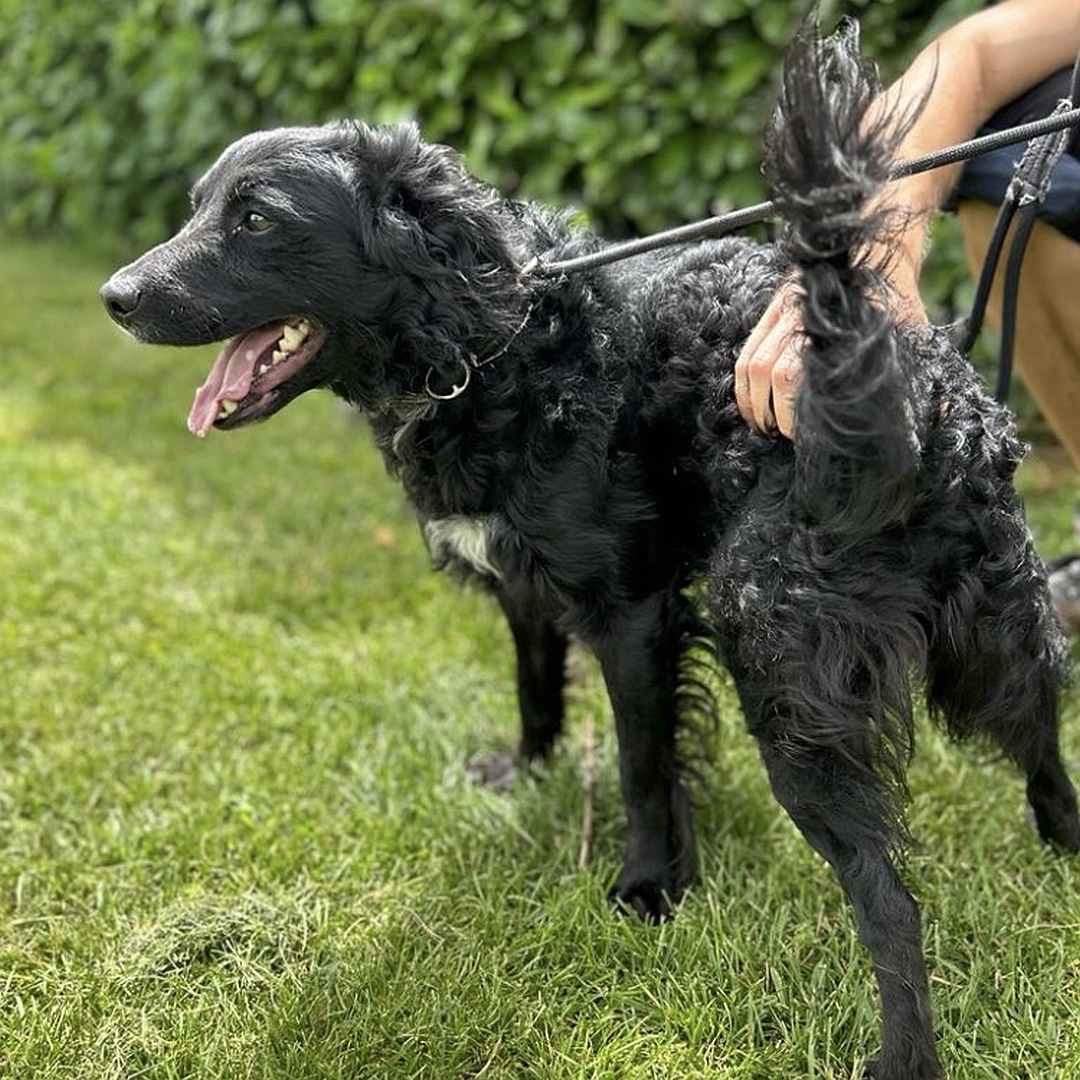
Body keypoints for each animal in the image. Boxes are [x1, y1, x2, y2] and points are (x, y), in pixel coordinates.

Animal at [99, 23, 1071, 1080]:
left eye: (257, 219)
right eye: (198, 205)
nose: (115, 297)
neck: (493, 345)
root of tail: (918, 404)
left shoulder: (634, 613)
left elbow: (645, 765)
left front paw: (651, 886)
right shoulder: (523, 582)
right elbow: (535, 682)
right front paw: (527, 771)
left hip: (787, 677)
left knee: (889, 900)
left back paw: (902, 1055)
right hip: (991, 631)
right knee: (1043, 730)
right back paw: (1066, 845)